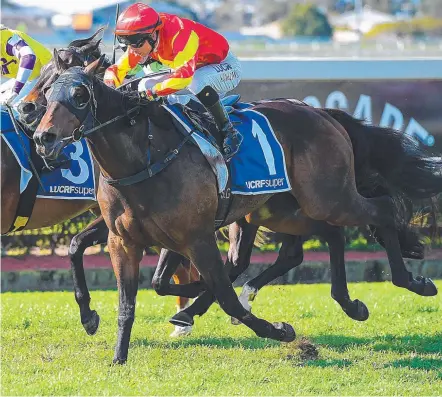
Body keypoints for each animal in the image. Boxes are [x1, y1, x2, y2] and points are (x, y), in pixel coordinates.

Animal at [32, 57, 440, 364]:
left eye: (80, 95)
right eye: (48, 92)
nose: (43, 137)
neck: (143, 158)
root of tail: (321, 112)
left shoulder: (194, 236)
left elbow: (221, 294)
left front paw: (279, 330)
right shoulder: (124, 240)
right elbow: (127, 298)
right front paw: (115, 352)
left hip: (328, 197)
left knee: (381, 211)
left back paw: (412, 282)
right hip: (282, 208)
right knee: (321, 238)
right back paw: (349, 301)